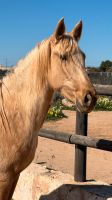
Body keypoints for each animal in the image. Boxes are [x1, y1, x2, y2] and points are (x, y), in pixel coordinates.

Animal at [0, 18, 96, 198]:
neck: (10, 119)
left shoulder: (14, 175)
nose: (90, 98)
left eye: (83, 56)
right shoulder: (4, 177)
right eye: (63, 57)